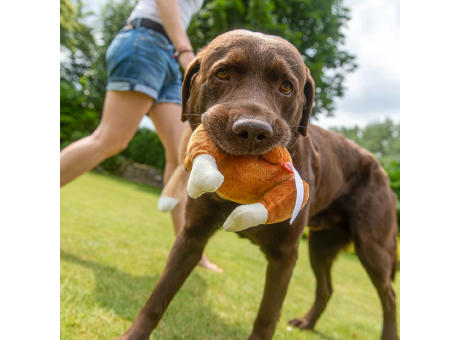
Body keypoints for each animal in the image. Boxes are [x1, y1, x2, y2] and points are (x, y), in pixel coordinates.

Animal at [119, 30, 398, 340]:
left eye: (287, 86)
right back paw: (307, 322)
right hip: (321, 244)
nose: (253, 130)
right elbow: (159, 296)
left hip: (372, 247)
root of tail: (382, 170)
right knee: (327, 288)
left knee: (389, 296)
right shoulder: (192, 236)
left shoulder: (285, 255)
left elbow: (266, 316)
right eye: (223, 73)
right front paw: (133, 335)